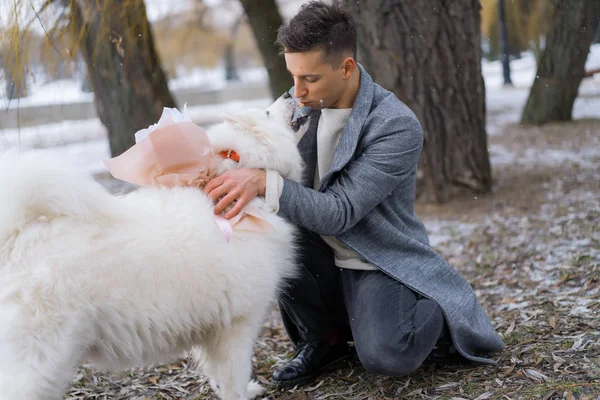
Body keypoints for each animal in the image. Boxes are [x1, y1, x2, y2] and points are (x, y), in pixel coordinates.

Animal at [0, 94, 308, 400]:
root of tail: (18, 237)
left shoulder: (214, 329)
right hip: (41, 358)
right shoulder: (238, 325)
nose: (289, 93)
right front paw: (242, 395)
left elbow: (219, 375)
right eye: (267, 112)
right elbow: (235, 375)